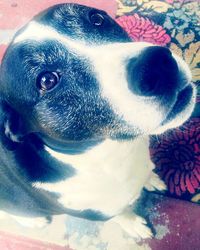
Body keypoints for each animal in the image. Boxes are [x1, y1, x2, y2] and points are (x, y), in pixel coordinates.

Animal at [0, 2, 197, 238]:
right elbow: (122, 215)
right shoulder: (101, 213)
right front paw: (134, 225)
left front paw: (151, 178)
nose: (157, 64)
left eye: (96, 19)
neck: (113, 154)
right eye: (47, 80)